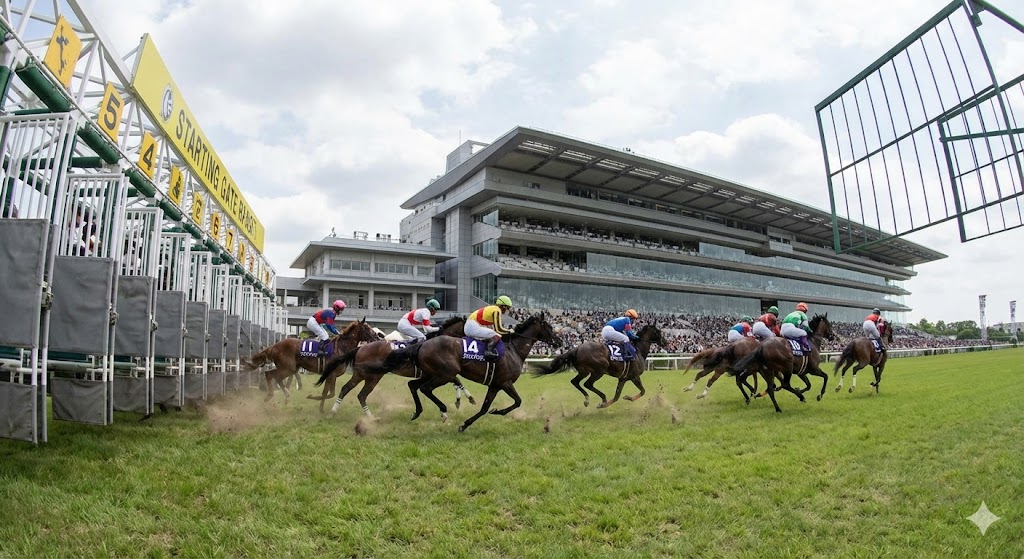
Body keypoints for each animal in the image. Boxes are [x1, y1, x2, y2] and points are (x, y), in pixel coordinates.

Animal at [244, 319, 378, 402]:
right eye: (367, 328)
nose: (377, 337)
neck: (341, 347)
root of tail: (274, 346)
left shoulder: (332, 375)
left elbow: (329, 393)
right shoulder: (331, 374)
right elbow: (327, 393)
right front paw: (318, 406)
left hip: (290, 368)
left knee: (273, 376)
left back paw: (284, 395)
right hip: (288, 368)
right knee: (271, 375)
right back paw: (273, 395)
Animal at [309, 315, 477, 414]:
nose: (474, 343)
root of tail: (361, 347)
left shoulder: (440, 372)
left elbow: (456, 381)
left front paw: (460, 400)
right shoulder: (439, 372)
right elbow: (457, 380)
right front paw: (467, 398)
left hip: (364, 375)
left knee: (348, 389)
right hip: (370, 375)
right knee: (356, 393)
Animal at [352, 312, 562, 432]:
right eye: (550, 327)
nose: (559, 342)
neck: (514, 350)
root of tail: (422, 345)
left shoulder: (495, 384)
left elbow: (484, 407)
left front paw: (467, 422)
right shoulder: (505, 382)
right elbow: (517, 402)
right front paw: (497, 411)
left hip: (434, 373)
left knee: (414, 386)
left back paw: (418, 412)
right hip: (443, 373)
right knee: (425, 389)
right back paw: (443, 410)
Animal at [531, 324, 666, 408]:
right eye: (658, 332)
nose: (665, 342)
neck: (638, 351)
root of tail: (577, 349)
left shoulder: (623, 378)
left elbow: (620, 395)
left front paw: (624, 398)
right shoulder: (633, 376)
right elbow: (640, 392)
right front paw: (624, 399)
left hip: (584, 371)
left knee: (575, 382)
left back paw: (587, 399)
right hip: (599, 370)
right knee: (588, 384)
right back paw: (603, 399)